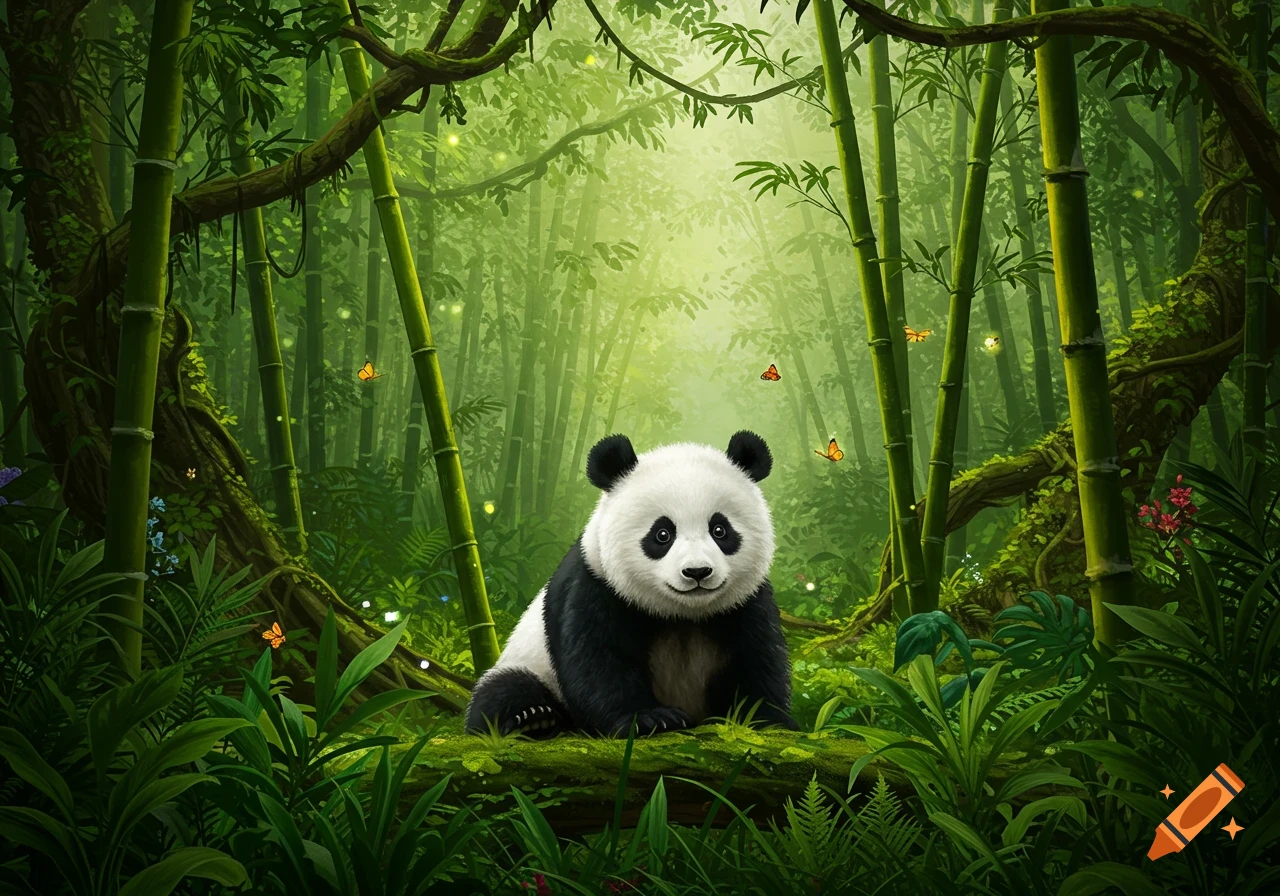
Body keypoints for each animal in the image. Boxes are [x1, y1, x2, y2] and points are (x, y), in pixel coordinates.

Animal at [464, 430, 799, 738]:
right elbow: (599, 660)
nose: (697, 572)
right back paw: (535, 718)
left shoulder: (746, 602)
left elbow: (757, 659)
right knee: (504, 690)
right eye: (662, 534)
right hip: (527, 661)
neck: (684, 615)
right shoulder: (597, 585)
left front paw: (767, 720)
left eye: (720, 530)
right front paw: (650, 718)